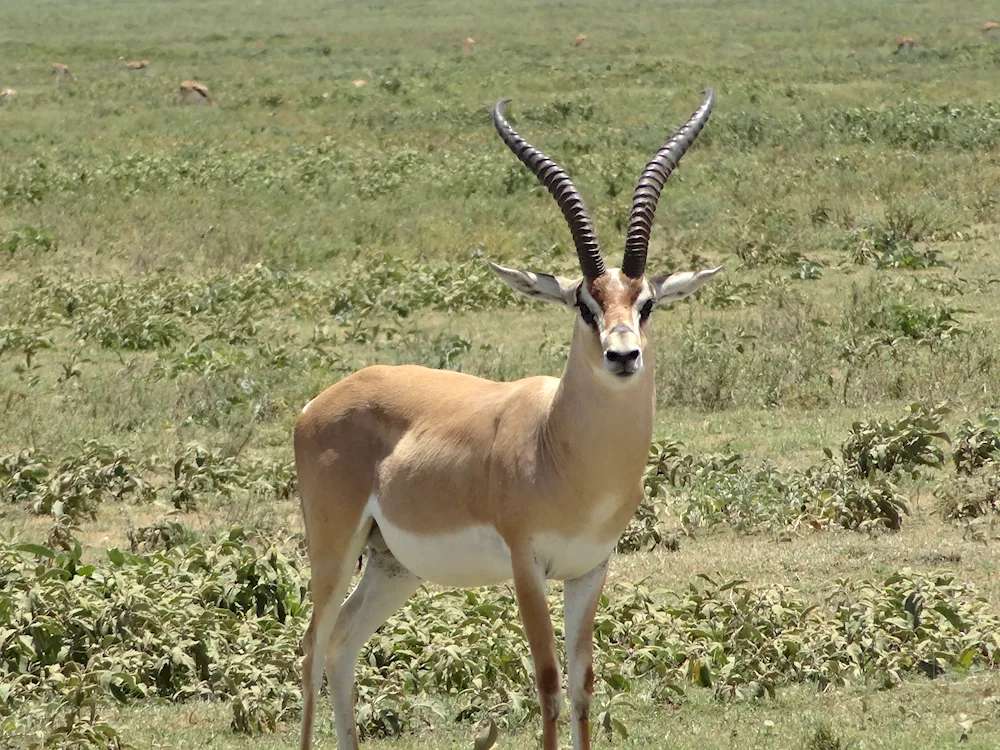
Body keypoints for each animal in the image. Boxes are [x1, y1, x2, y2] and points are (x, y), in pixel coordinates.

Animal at [292, 89, 724, 750]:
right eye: (583, 303)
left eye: (646, 304)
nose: (622, 355)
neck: (563, 451)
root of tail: (318, 403)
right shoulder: (528, 567)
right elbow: (547, 684)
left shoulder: (589, 569)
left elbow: (583, 686)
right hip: (334, 549)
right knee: (312, 649)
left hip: (392, 565)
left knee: (342, 643)